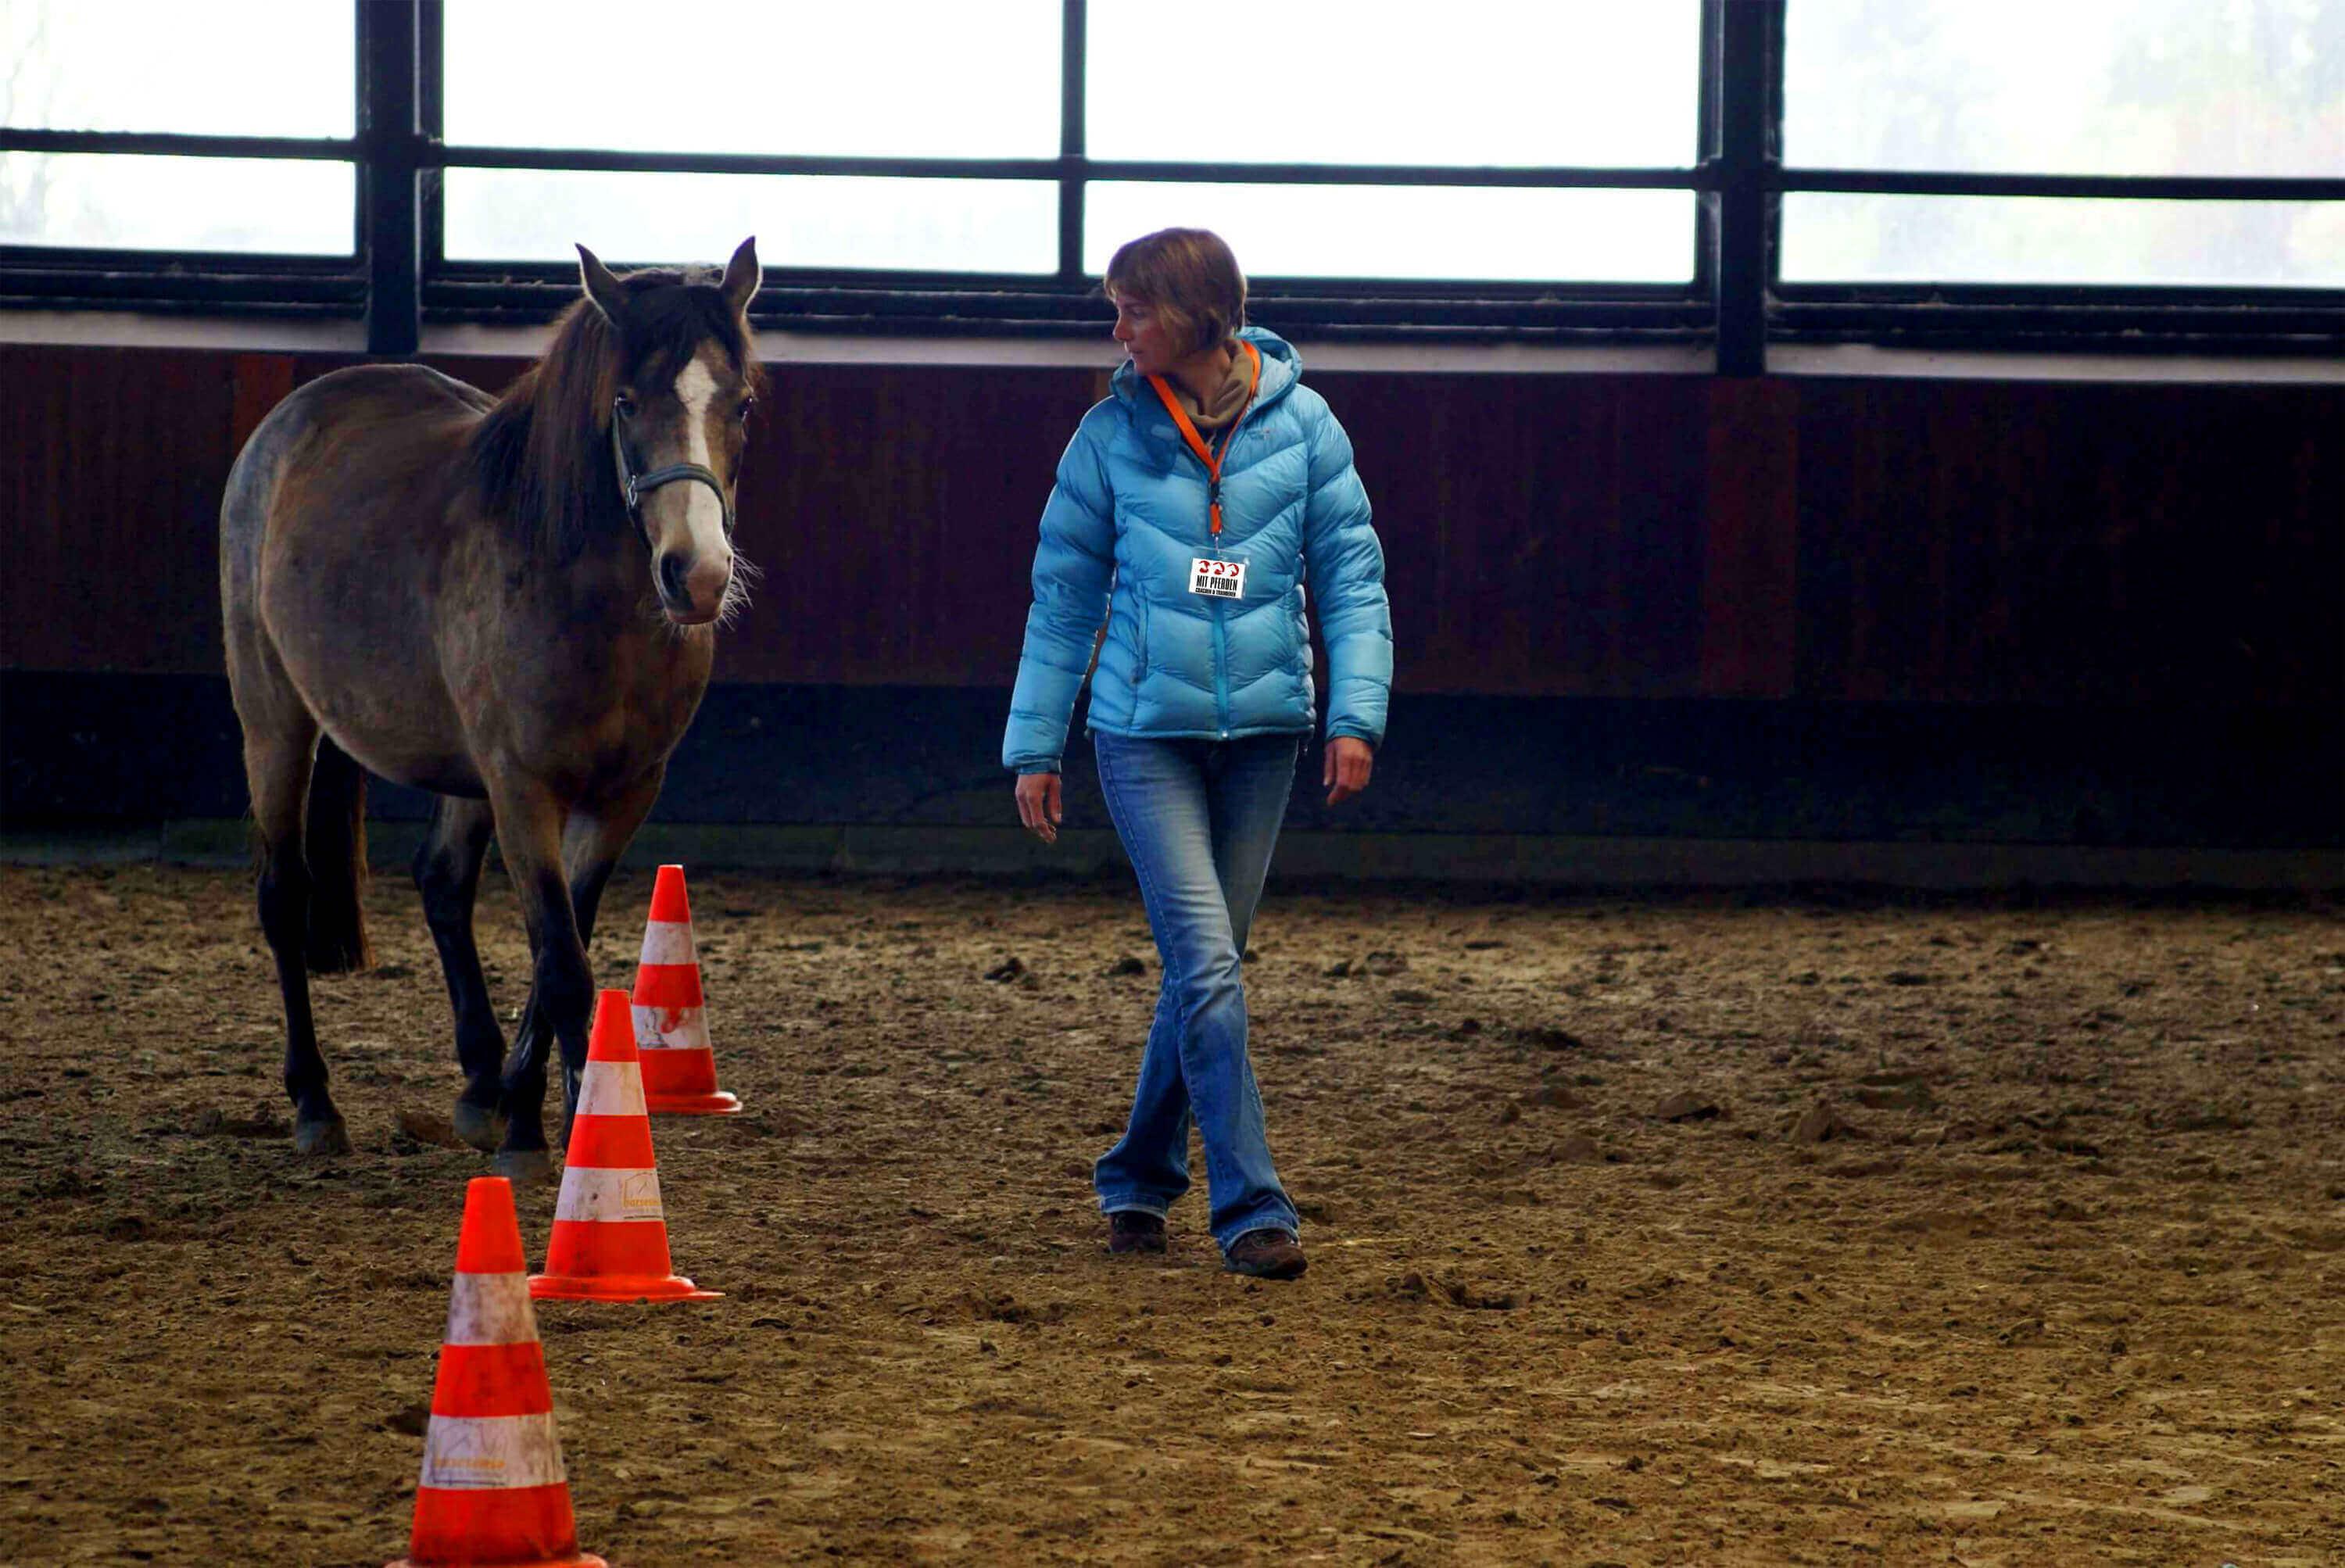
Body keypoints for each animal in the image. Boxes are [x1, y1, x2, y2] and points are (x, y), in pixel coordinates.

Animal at [218, 238, 760, 1172]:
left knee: (441, 881)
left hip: (462, 773)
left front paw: (526, 1104)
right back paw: (316, 1103)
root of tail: (286, 425)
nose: (696, 576)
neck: (590, 603)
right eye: (624, 401)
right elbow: (563, 963)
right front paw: (552, 1136)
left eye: (742, 403)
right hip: (275, 723)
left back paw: (477, 1082)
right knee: (283, 895)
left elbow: (561, 948)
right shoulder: (522, 789)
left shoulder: (625, 794)